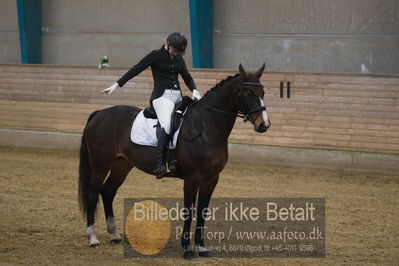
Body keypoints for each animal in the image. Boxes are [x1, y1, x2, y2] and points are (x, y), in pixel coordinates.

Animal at [77, 62, 272, 260]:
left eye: (263, 91)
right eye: (248, 92)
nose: (263, 125)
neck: (206, 126)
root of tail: (100, 113)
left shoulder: (212, 178)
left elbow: (202, 211)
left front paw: (202, 247)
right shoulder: (192, 177)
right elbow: (189, 210)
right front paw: (187, 249)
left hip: (122, 165)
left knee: (108, 191)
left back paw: (115, 235)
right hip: (100, 166)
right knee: (92, 193)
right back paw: (93, 238)